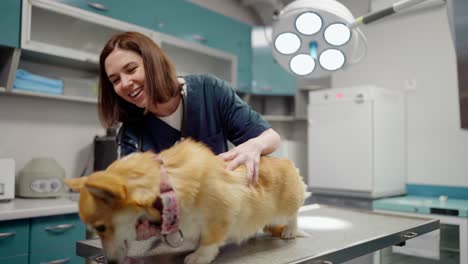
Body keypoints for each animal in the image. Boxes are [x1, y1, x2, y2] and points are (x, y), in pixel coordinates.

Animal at [65, 139, 308, 262]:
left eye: (101, 227)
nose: (111, 262)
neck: (168, 187)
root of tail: (286, 161)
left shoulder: (222, 213)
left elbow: (210, 240)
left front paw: (199, 256)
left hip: (289, 202)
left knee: (294, 215)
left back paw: (289, 231)